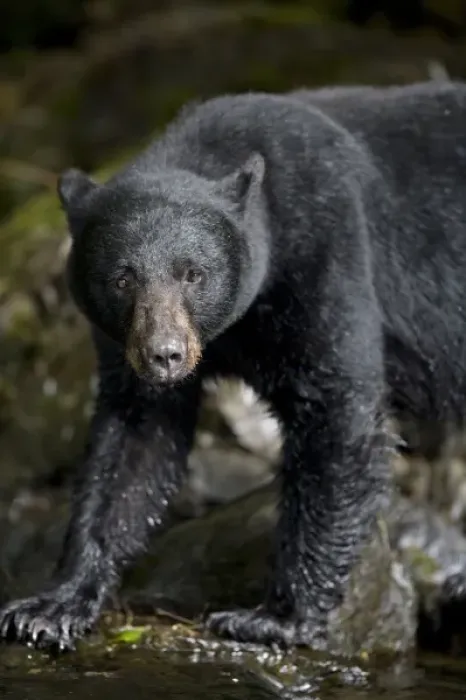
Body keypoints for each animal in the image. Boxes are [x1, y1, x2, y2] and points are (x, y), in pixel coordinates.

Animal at [1, 80, 466, 651]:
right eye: (122, 278)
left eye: (193, 274)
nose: (164, 354)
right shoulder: (121, 347)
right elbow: (132, 445)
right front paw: (52, 605)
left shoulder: (329, 250)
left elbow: (337, 413)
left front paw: (275, 617)